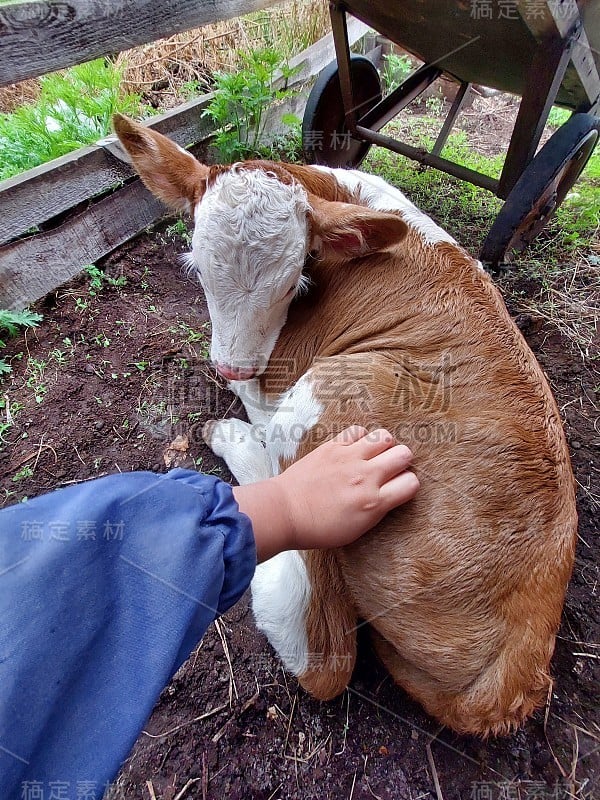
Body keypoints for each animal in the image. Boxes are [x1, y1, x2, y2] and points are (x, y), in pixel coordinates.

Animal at [112, 112, 576, 736]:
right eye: (200, 271)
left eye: (291, 284)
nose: (233, 364)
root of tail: (516, 673)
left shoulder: (279, 376)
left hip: (331, 394)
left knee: (325, 654)